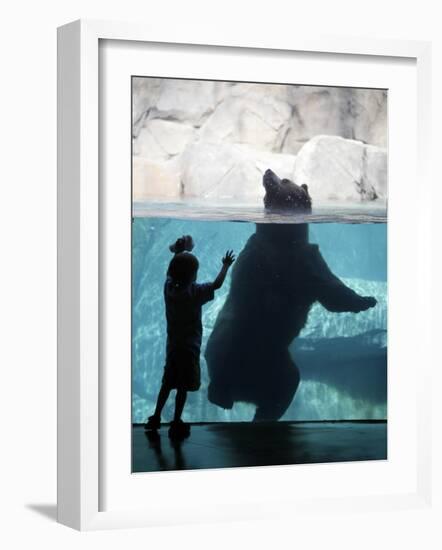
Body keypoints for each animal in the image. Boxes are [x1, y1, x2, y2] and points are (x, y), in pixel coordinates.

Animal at [205, 168, 376, 422]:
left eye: (285, 179)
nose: (268, 171)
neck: (284, 240)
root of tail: (243, 390)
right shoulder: (262, 257)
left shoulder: (309, 261)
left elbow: (330, 290)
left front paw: (367, 301)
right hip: (232, 337)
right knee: (222, 357)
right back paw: (221, 393)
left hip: (279, 362)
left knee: (287, 384)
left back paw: (262, 414)